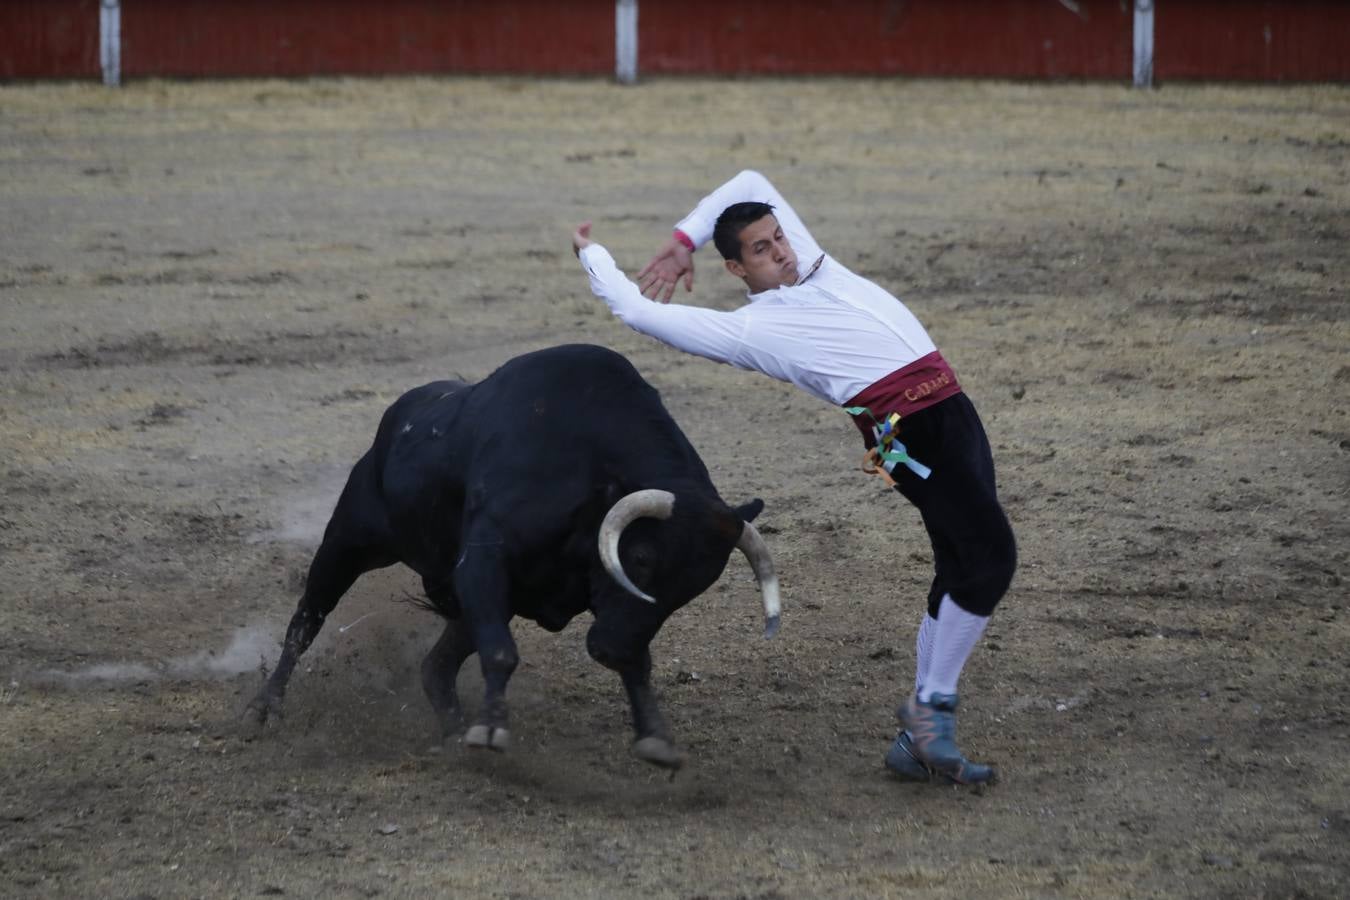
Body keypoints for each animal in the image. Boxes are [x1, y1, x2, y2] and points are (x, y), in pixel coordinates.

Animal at [245, 342, 783, 766]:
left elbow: (635, 663)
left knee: (436, 667)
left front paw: (654, 737)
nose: (610, 650)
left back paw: (452, 735)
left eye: (691, 591)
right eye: (642, 559)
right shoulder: (483, 564)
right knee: (306, 621)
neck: (592, 470)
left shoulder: (579, 602)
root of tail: (398, 419)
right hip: (348, 544)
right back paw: (264, 708)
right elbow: (502, 652)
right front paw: (492, 730)